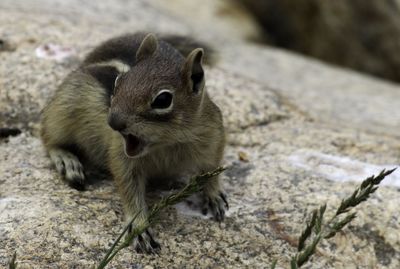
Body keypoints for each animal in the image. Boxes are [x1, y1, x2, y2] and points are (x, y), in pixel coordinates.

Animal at [41, 32, 228, 252]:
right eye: (117, 82)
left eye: (163, 100)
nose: (113, 122)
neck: (168, 144)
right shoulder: (122, 157)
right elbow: (130, 190)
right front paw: (139, 227)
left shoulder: (214, 137)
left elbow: (212, 169)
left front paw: (214, 195)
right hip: (63, 107)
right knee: (48, 137)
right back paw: (67, 160)